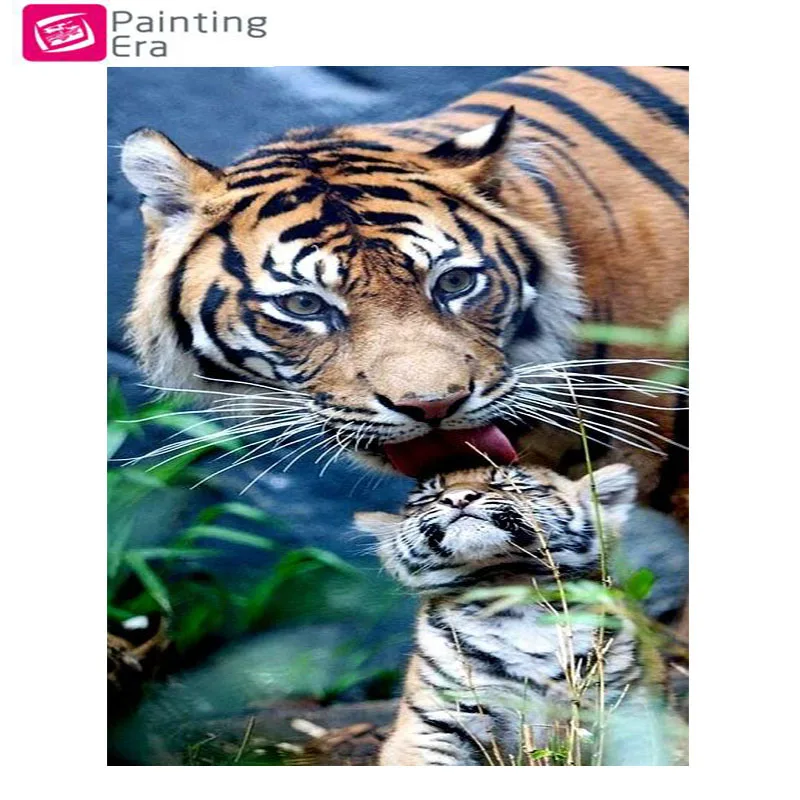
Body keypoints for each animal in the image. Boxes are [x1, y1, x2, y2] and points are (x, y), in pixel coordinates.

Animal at [355, 462, 658, 766]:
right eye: (428, 497)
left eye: (507, 483)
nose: (457, 498)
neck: (513, 587)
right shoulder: (434, 722)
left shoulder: (631, 714)